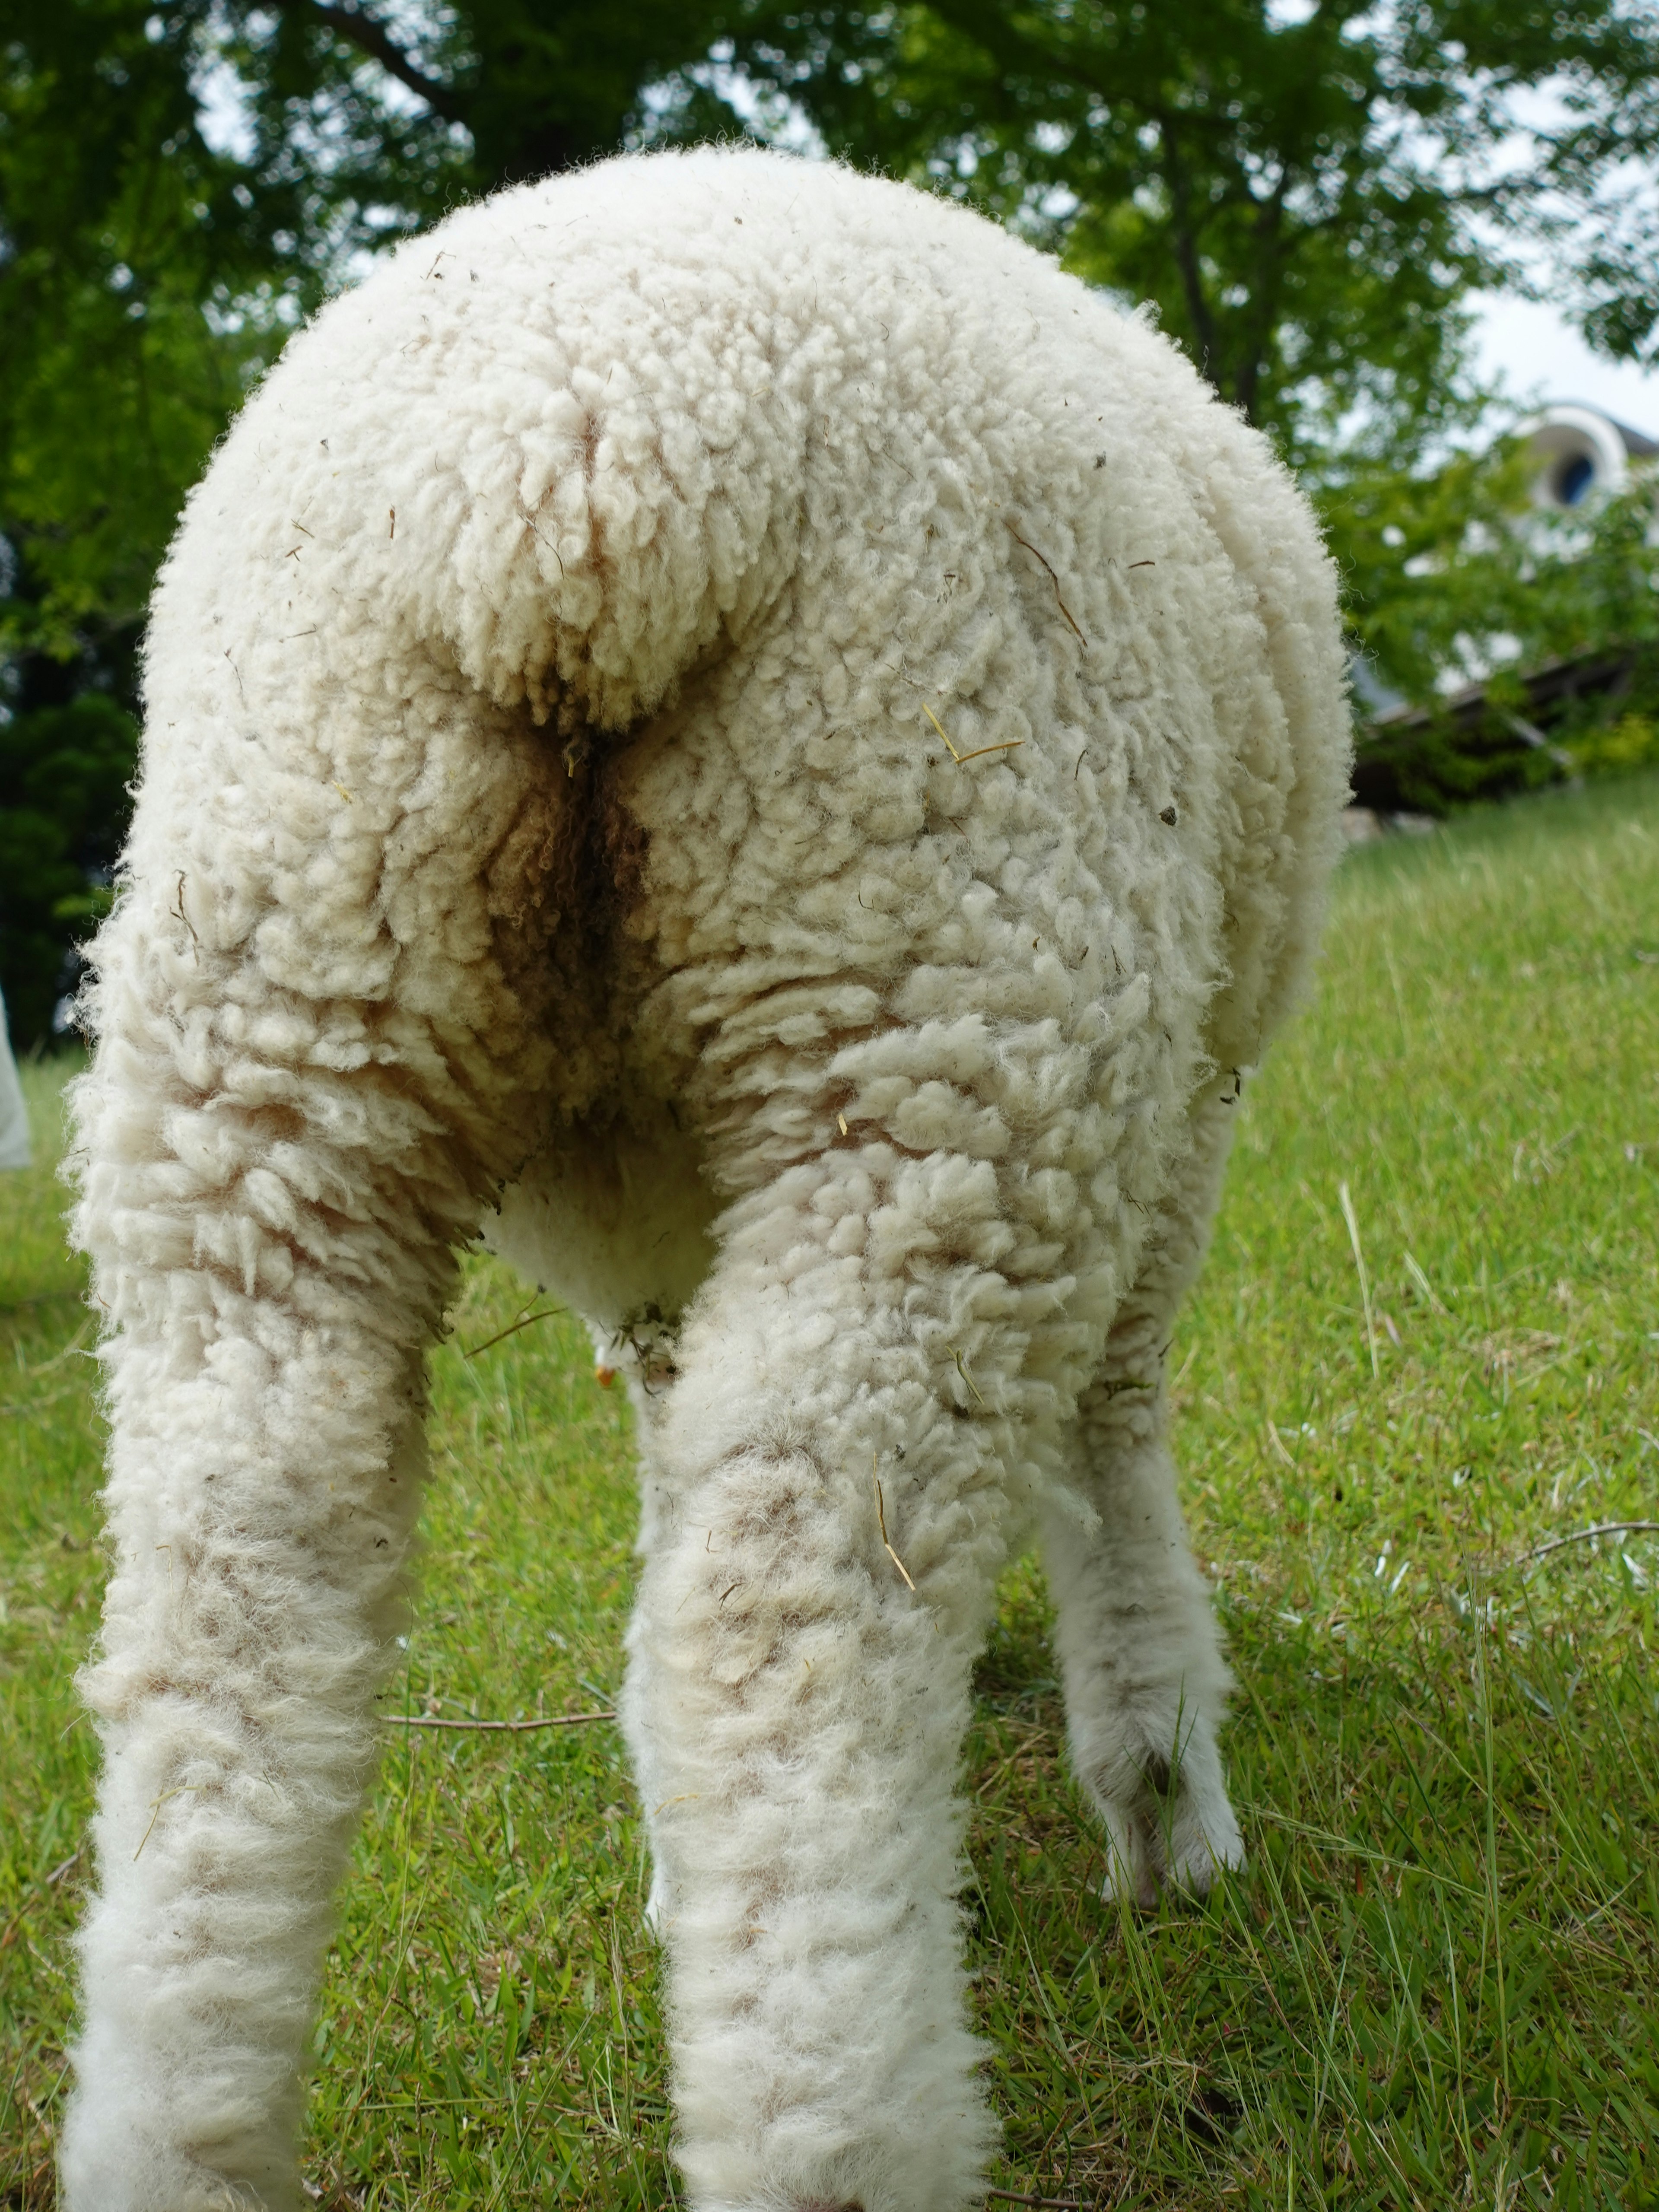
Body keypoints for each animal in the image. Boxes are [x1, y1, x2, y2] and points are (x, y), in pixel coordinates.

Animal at [61, 143, 1354, 2212]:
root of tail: (574, 469)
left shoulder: (657, 1242)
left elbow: (678, 1459)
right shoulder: (1172, 1114)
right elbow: (1116, 1426)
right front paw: (1163, 1797)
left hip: (273, 1018)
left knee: (239, 1625)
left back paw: (183, 2122)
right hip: (944, 989)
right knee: (789, 1618)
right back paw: (846, 2130)